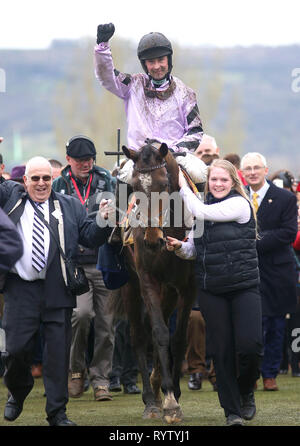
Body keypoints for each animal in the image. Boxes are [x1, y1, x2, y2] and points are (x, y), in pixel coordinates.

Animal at [119, 141, 197, 424]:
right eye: (134, 186)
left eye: (163, 183)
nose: (152, 240)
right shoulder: (147, 279)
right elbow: (160, 334)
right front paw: (169, 401)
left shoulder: (188, 286)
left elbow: (179, 337)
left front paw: (173, 394)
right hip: (130, 285)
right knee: (138, 335)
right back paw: (150, 399)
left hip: (170, 290)